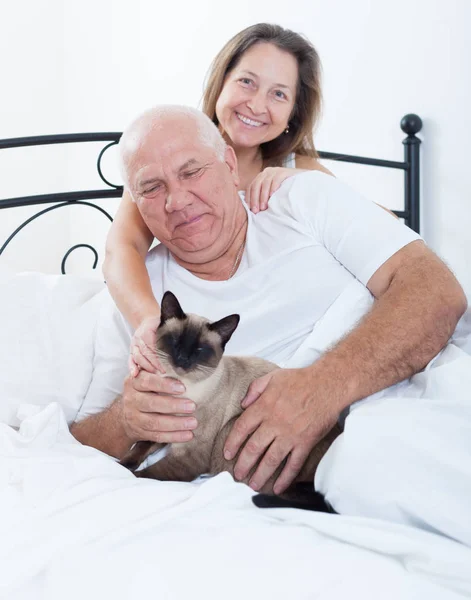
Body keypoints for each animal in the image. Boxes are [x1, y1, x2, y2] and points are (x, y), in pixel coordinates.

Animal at [121, 290, 340, 510]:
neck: (183, 388)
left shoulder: (189, 456)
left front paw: (128, 473)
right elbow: (141, 446)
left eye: (200, 350)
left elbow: (148, 474)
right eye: (175, 341)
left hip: (231, 428)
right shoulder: (162, 426)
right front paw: (121, 464)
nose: (182, 359)